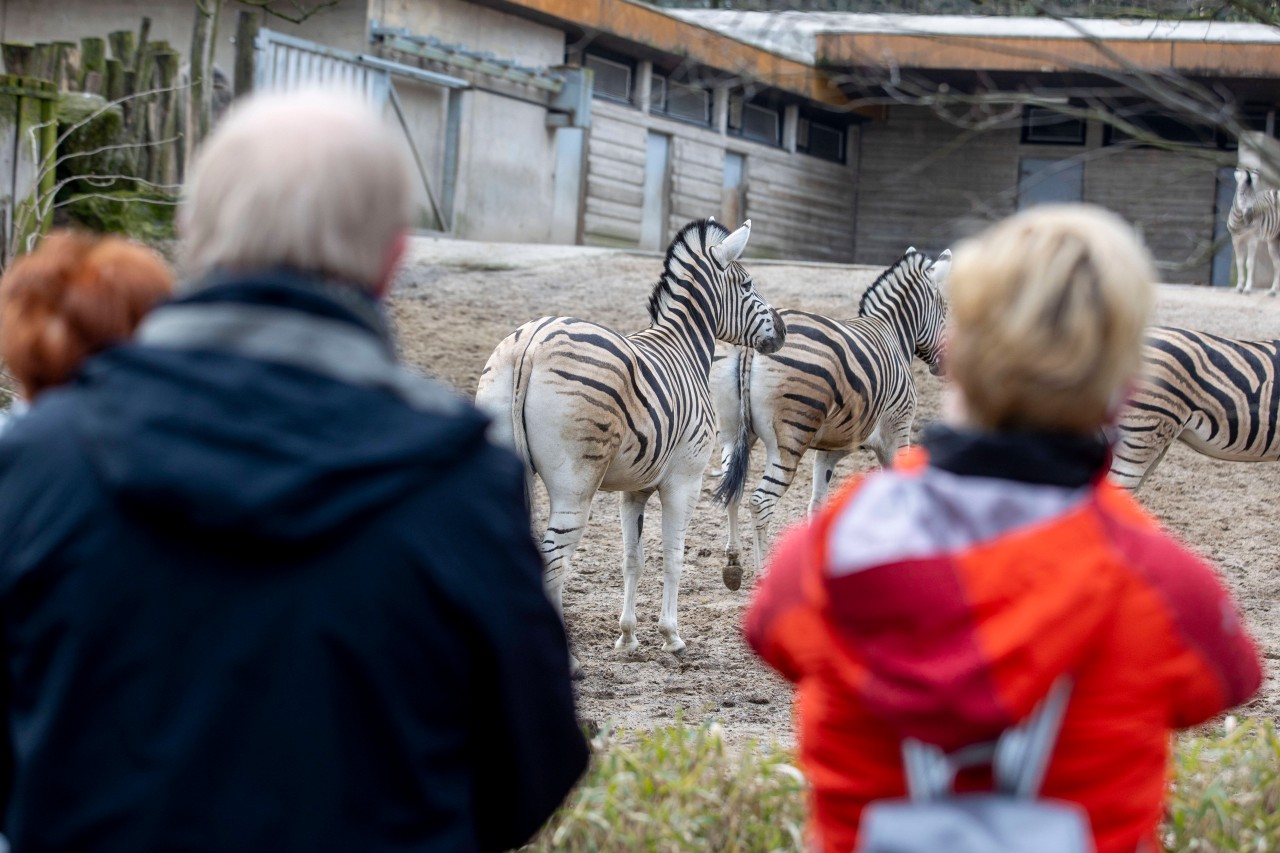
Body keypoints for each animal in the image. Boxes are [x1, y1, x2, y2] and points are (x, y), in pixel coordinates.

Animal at [476, 220, 783, 676]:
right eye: (747, 284)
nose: (781, 332)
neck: (686, 348)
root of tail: (532, 342)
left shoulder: (634, 488)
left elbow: (632, 559)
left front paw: (627, 637)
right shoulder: (684, 481)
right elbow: (674, 555)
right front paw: (672, 637)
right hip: (575, 486)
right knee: (553, 561)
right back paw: (567, 662)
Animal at [711, 249, 952, 589]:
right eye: (945, 309)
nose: (944, 365)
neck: (893, 332)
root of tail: (753, 348)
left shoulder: (828, 450)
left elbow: (817, 507)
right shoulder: (897, 432)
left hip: (733, 434)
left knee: (731, 489)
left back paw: (733, 563)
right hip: (789, 440)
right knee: (760, 502)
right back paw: (762, 576)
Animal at [1228, 167, 1280, 297]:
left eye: (1254, 196)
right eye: (1242, 194)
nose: (1250, 215)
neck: (1240, 221)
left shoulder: (1252, 240)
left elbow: (1249, 263)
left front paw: (1247, 288)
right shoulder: (1236, 240)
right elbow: (1240, 262)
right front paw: (1239, 287)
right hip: (1273, 240)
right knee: (1277, 263)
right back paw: (1273, 291)